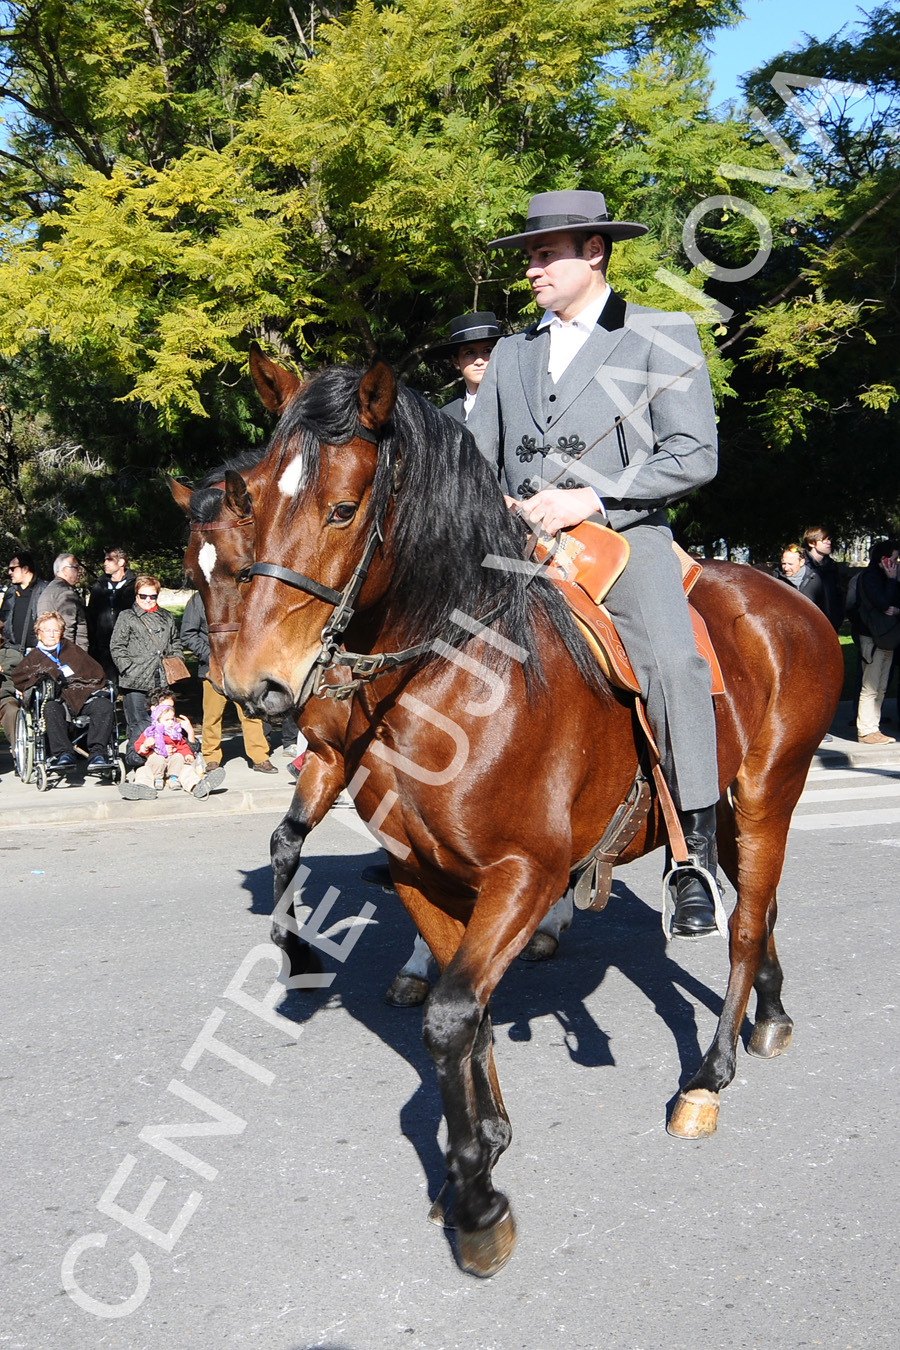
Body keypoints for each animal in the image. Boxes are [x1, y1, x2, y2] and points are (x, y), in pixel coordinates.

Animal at [218, 356, 847, 1274]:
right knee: (760, 910)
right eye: (256, 501)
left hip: (771, 792)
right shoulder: (423, 874)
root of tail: (789, 600)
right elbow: (464, 1014)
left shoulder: (525, 874)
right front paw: (483, 1152)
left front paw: (480, 1201)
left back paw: (709, 1077)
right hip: (733, 811)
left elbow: (451, 1016)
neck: (451, 681)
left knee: (743, 921)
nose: (255, 683)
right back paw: (770, 1014)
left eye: (341, 508)